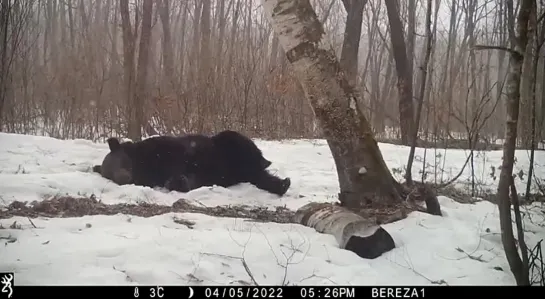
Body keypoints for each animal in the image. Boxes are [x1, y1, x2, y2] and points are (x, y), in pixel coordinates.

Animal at [91, 131, 292, 197]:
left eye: (119, 161)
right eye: (108, 174)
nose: (123, 178)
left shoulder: (163, 150)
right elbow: (185, 180)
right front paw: (179, 182)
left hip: (228, 146)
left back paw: (267, 164)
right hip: (236, 174)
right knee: (258, 176)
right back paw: (282, 184)